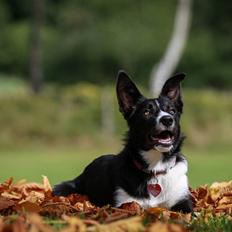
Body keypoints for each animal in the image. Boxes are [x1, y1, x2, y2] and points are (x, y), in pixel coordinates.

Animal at [53, 71, 193, 214]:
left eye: (172, 111)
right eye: (146, 112)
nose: (167, 119)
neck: (155, 166)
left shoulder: (182, 201)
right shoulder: (125, 204)